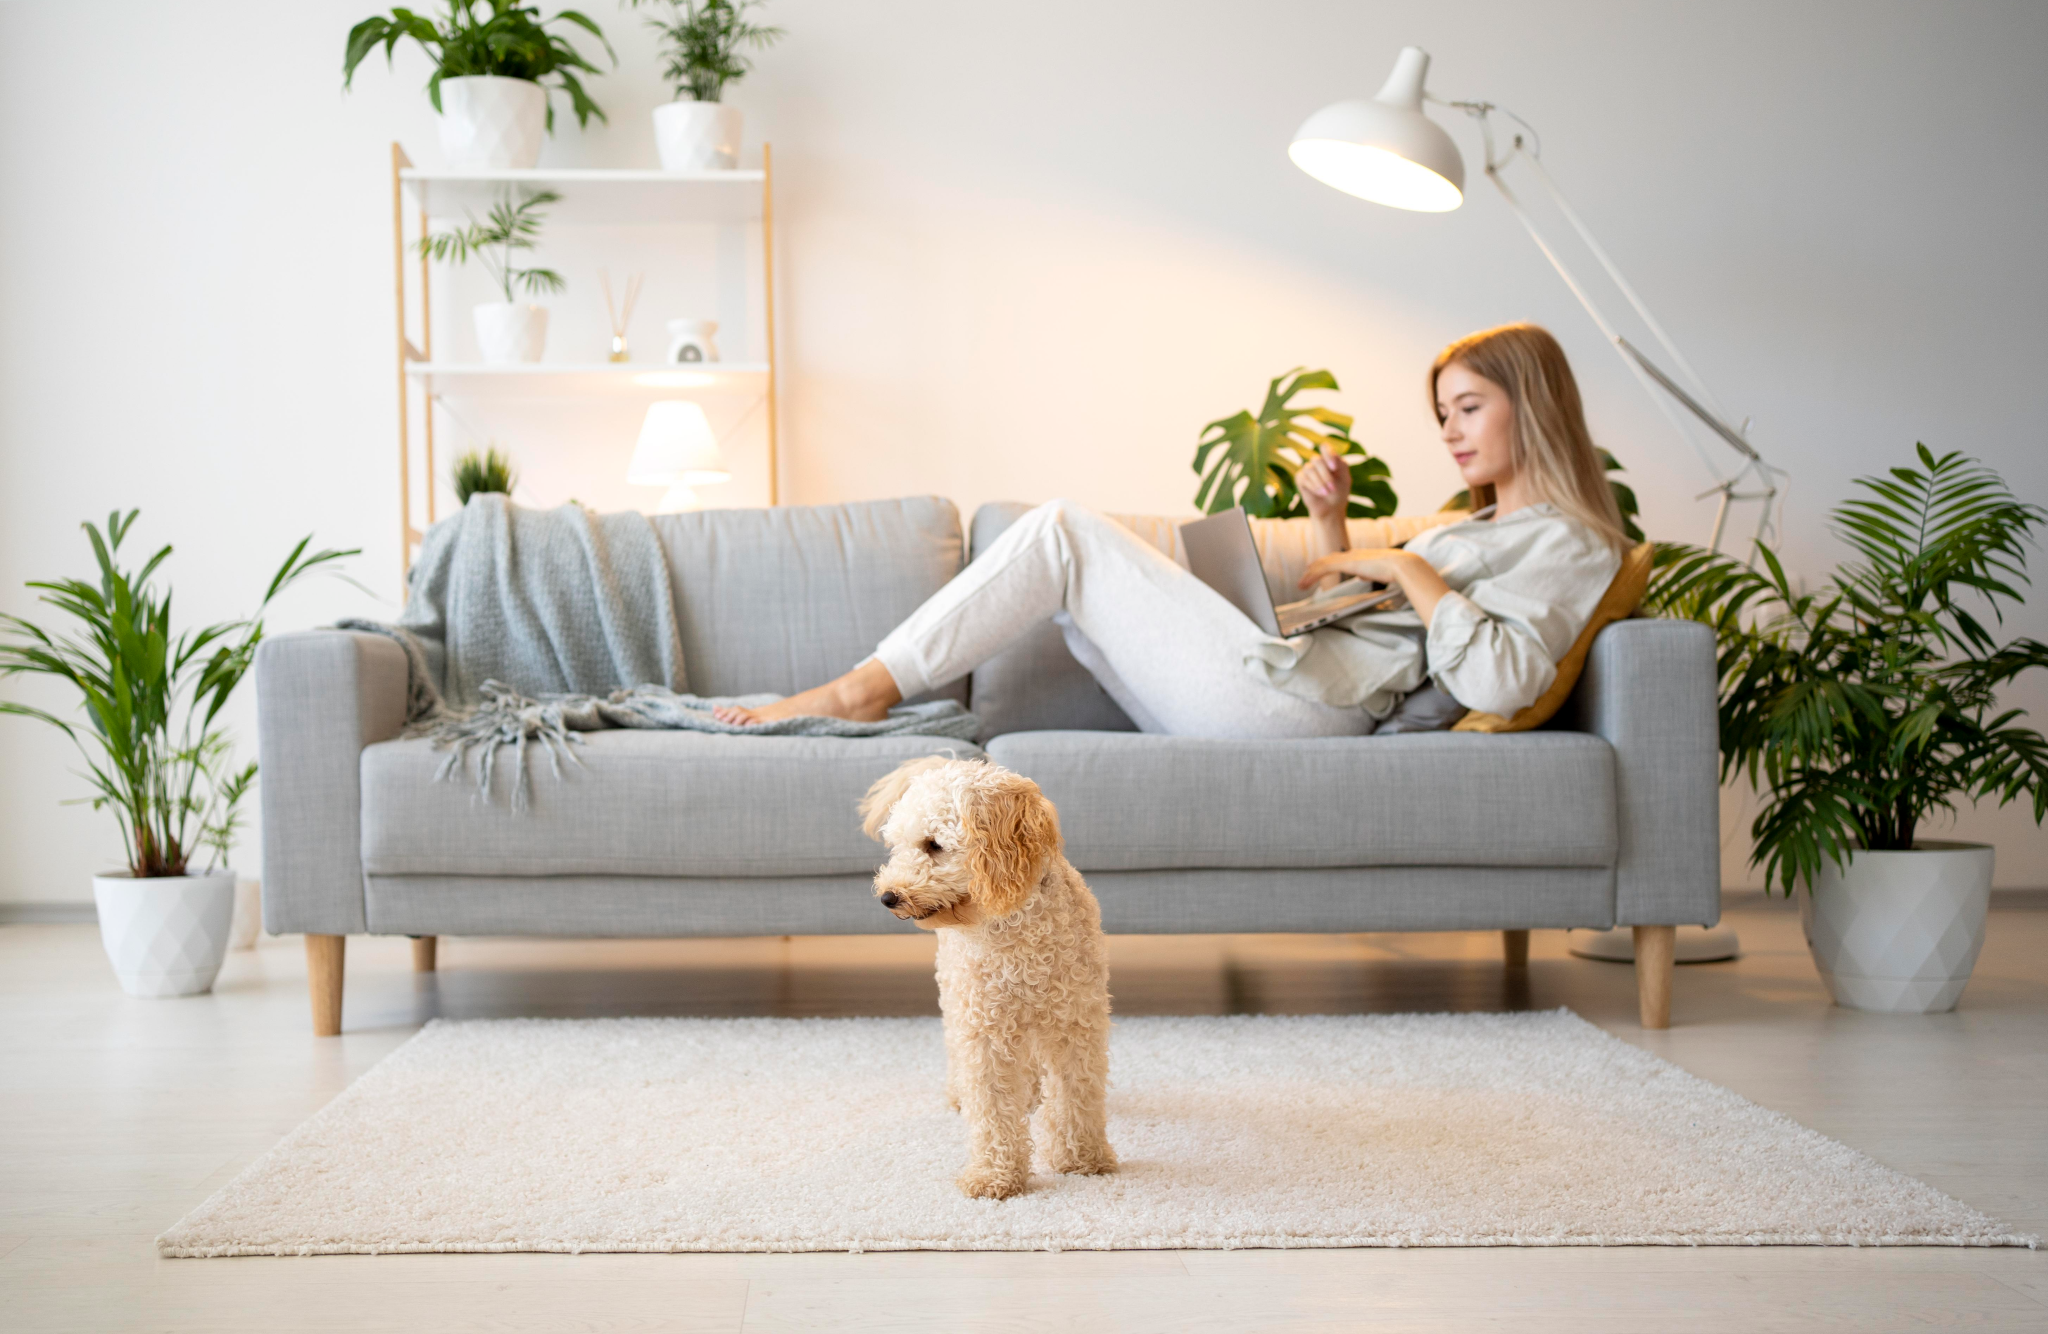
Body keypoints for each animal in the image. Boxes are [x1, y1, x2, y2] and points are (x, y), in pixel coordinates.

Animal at [860, 758, 1122, 1204]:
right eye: (897, 846)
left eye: (933, 845)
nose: (888, 897)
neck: (1014, 930)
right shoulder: (985, 1029)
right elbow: (993, 1108)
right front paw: (994, 1176)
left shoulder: (1076, 1023)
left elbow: (1078, 1093)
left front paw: (1083, 1158)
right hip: (955, 996)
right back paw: (961, 1093)